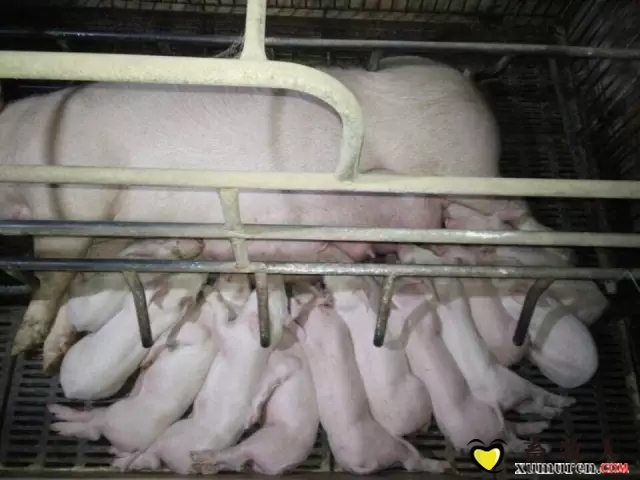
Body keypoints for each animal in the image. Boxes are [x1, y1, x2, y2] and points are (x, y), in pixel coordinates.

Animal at [1, 55, 501, 359]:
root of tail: (476, 102)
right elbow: (77, 279)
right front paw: (45, 355)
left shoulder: (69, 197)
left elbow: (52, 273)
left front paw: (22, 342)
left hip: (469, 177)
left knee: (503, 221)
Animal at [114, 274, 297, 474]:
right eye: (283, 301)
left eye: (274, 298)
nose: (277, 279)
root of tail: (187, 467)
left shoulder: (232, 334)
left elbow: (220, 321)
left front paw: (211, 293)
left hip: (171, 435)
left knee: (149, 453)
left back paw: (120, 464)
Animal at [189, 328, 319, 475]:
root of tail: (287, 466)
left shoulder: (288, 364)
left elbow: (267, 383)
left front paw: (252, 416)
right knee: (237, 463)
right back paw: (202, 468)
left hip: (263, 442)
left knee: (234, 455)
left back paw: (196, 456)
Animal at [397, 245, 576, 419]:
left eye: (416, 257)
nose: (401, 247)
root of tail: (497, 400)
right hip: (518, 387)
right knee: (537, 398)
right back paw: (562, 406)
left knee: (537, 401)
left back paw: (561, 407)